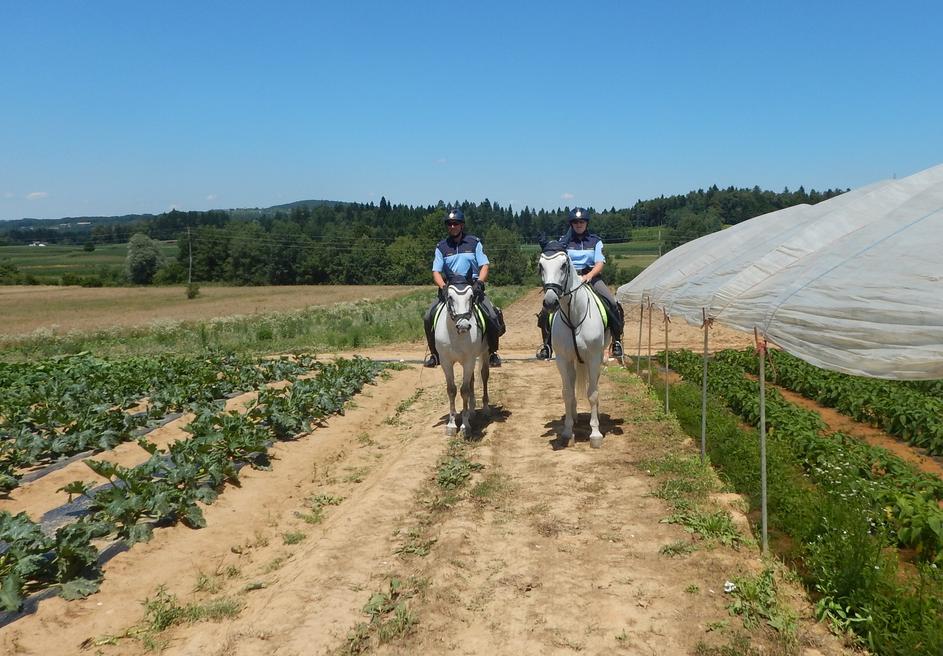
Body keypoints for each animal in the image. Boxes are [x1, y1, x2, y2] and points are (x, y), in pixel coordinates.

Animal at [436, 280, 494, 436]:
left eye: (471, 296)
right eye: (450, 297)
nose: (463, 326)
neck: (455, 335)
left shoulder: (469, 361)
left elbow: (464, 390)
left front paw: (465, 426)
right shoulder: (446, 362)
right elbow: (452, 390)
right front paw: (451, 424)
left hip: (484, 353)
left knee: (484, 376)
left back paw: (485, 409)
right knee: (473, 380)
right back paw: (472, 410)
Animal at [540, 243, 612, 448]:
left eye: (564, 265)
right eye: (541, 266)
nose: (550, 302)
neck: (575, 316)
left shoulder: (593, 358)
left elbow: (593, 394)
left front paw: (595, 434)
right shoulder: (563, 359)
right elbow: (567, 393)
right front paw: (567, 431)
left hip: (599, 358)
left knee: (595, 385)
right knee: (571, 386)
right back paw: (574, 415)